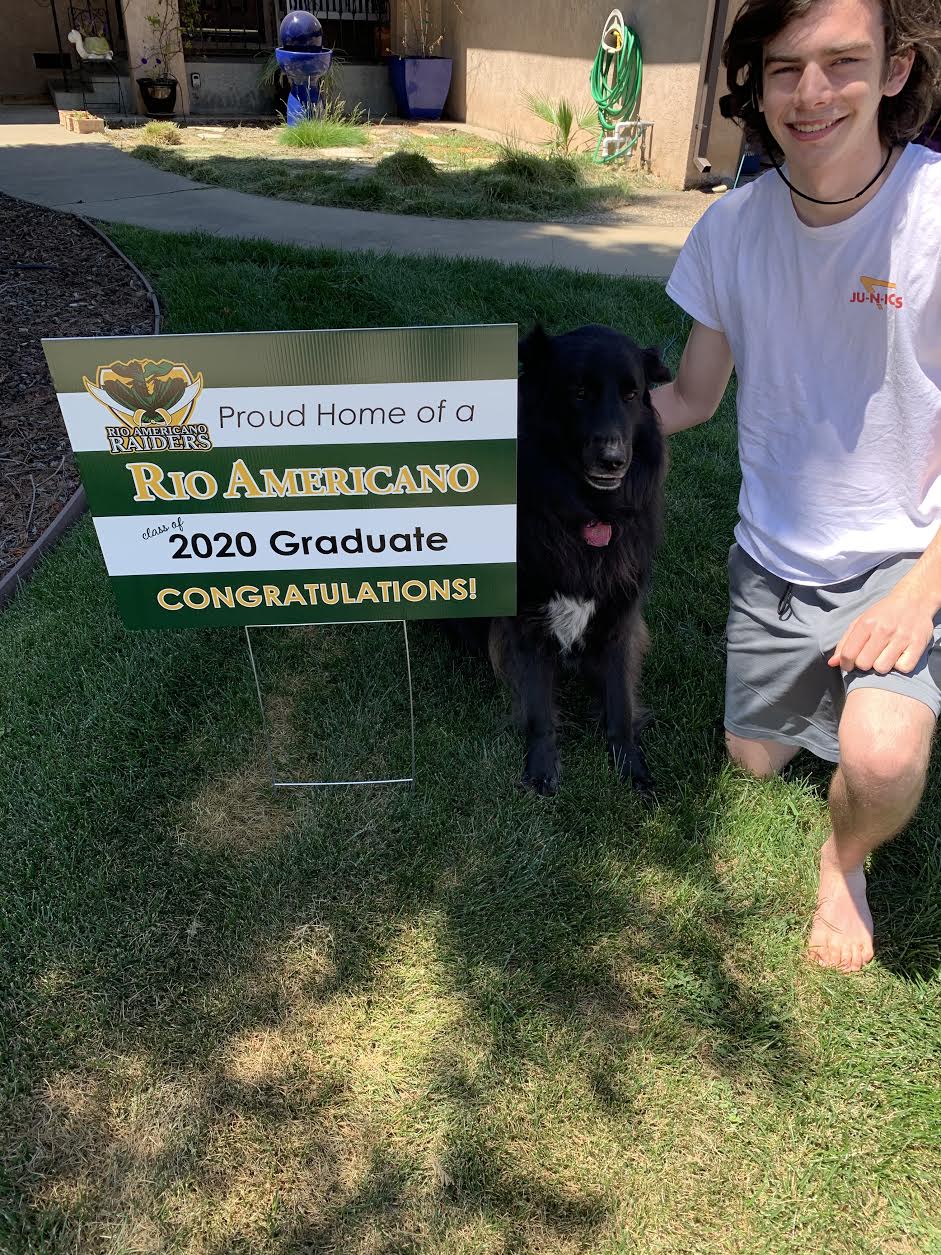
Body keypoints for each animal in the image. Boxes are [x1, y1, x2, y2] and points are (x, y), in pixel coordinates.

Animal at [486, 323, 672, 793]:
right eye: (580, 392)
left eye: (631, 393)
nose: (613, 460)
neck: (589, 514)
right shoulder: (526, 622)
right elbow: (538, 707)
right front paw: (541, 767)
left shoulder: (621, 619)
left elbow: (620, 705)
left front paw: (631, 766)